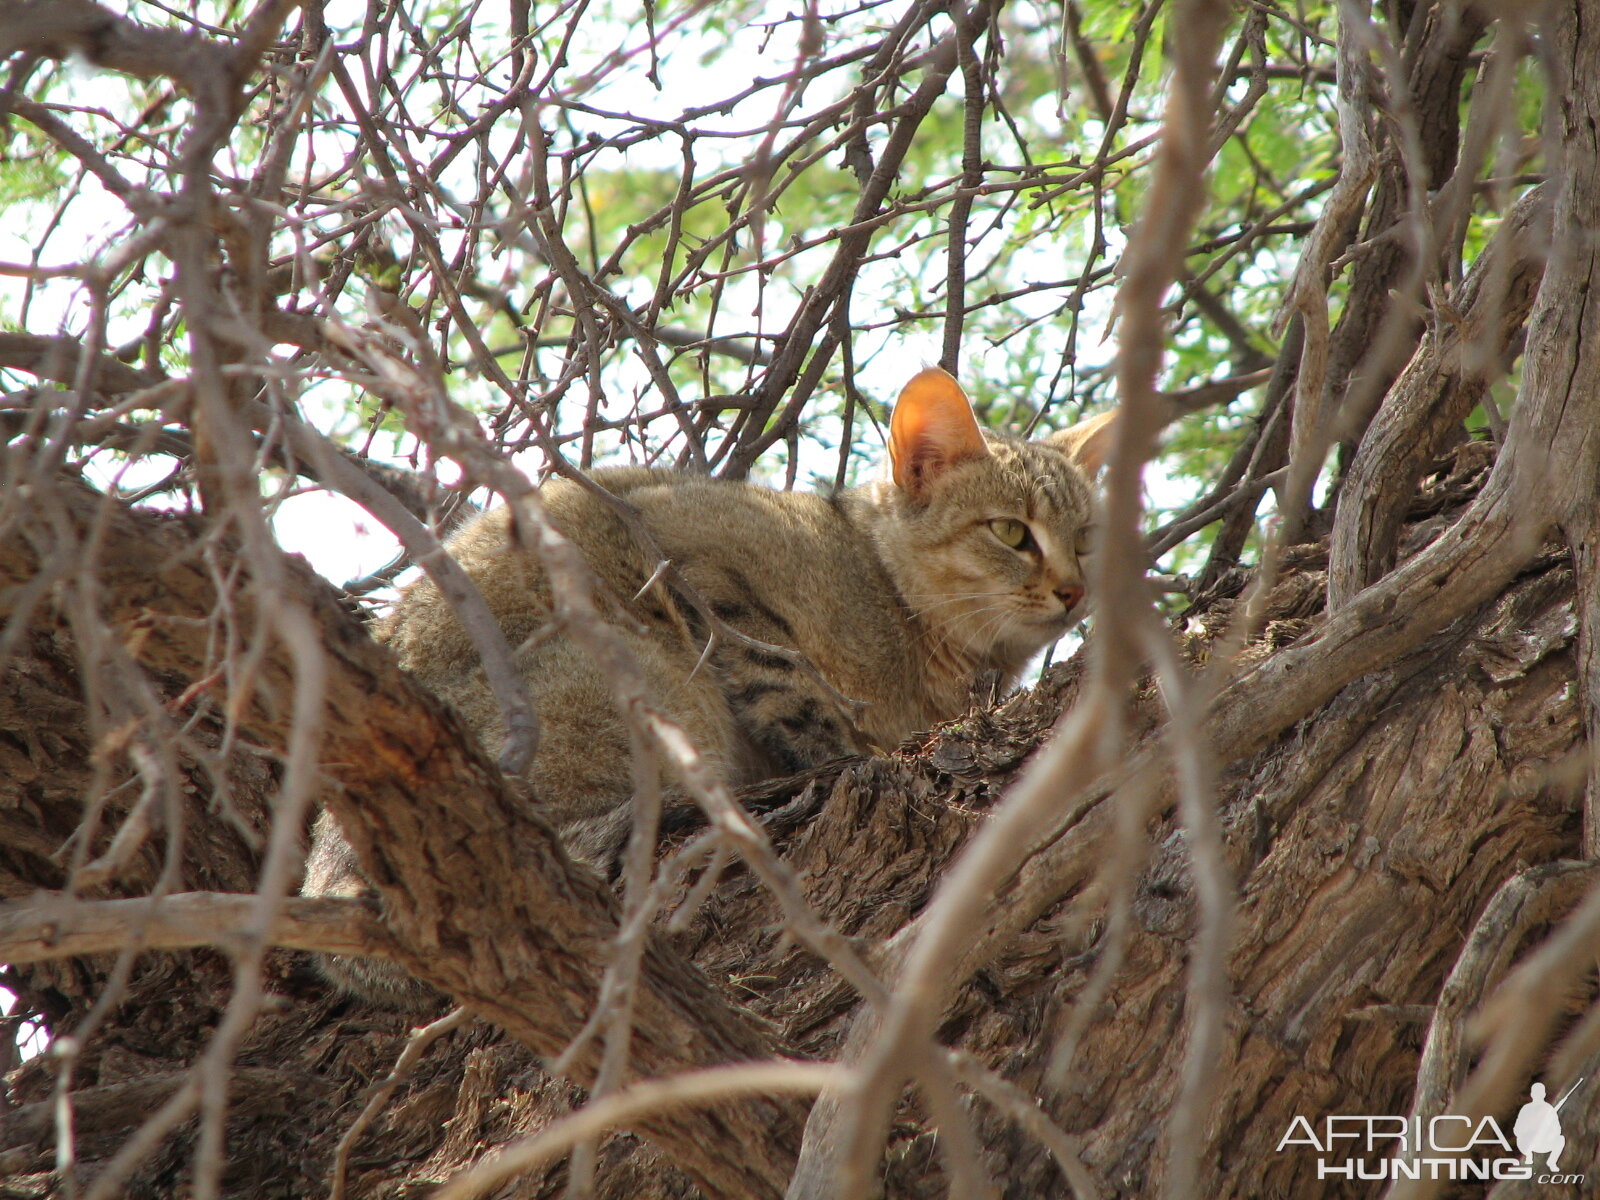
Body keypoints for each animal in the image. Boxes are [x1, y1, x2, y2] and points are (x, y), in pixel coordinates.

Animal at [305, 366, 1120, 1004]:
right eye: (1012, 533)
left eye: (1087, 539)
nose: (1078, 590)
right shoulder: (694, 564)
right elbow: (797, 695)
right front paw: (849, 752)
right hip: (646, 677)